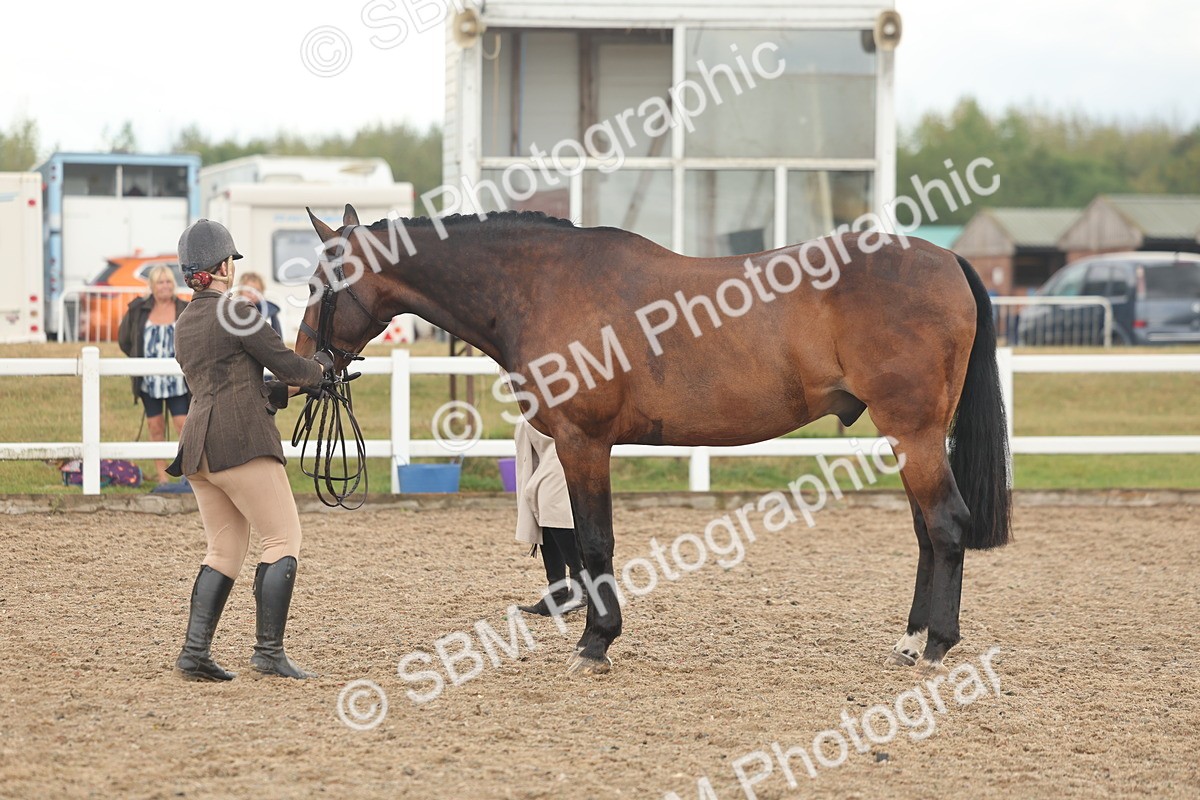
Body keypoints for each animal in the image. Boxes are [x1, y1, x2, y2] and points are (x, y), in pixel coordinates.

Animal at [295, 204, 1011, 678]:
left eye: (315, 284)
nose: (305, 361)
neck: (542, 284)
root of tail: (946, 260)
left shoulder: (584, 443)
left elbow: (593, 541)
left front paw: (595, 642)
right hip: (910, 440)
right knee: (926, 534)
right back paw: (911, 638)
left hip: (915, 434)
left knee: (946, 526)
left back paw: (936, 644)